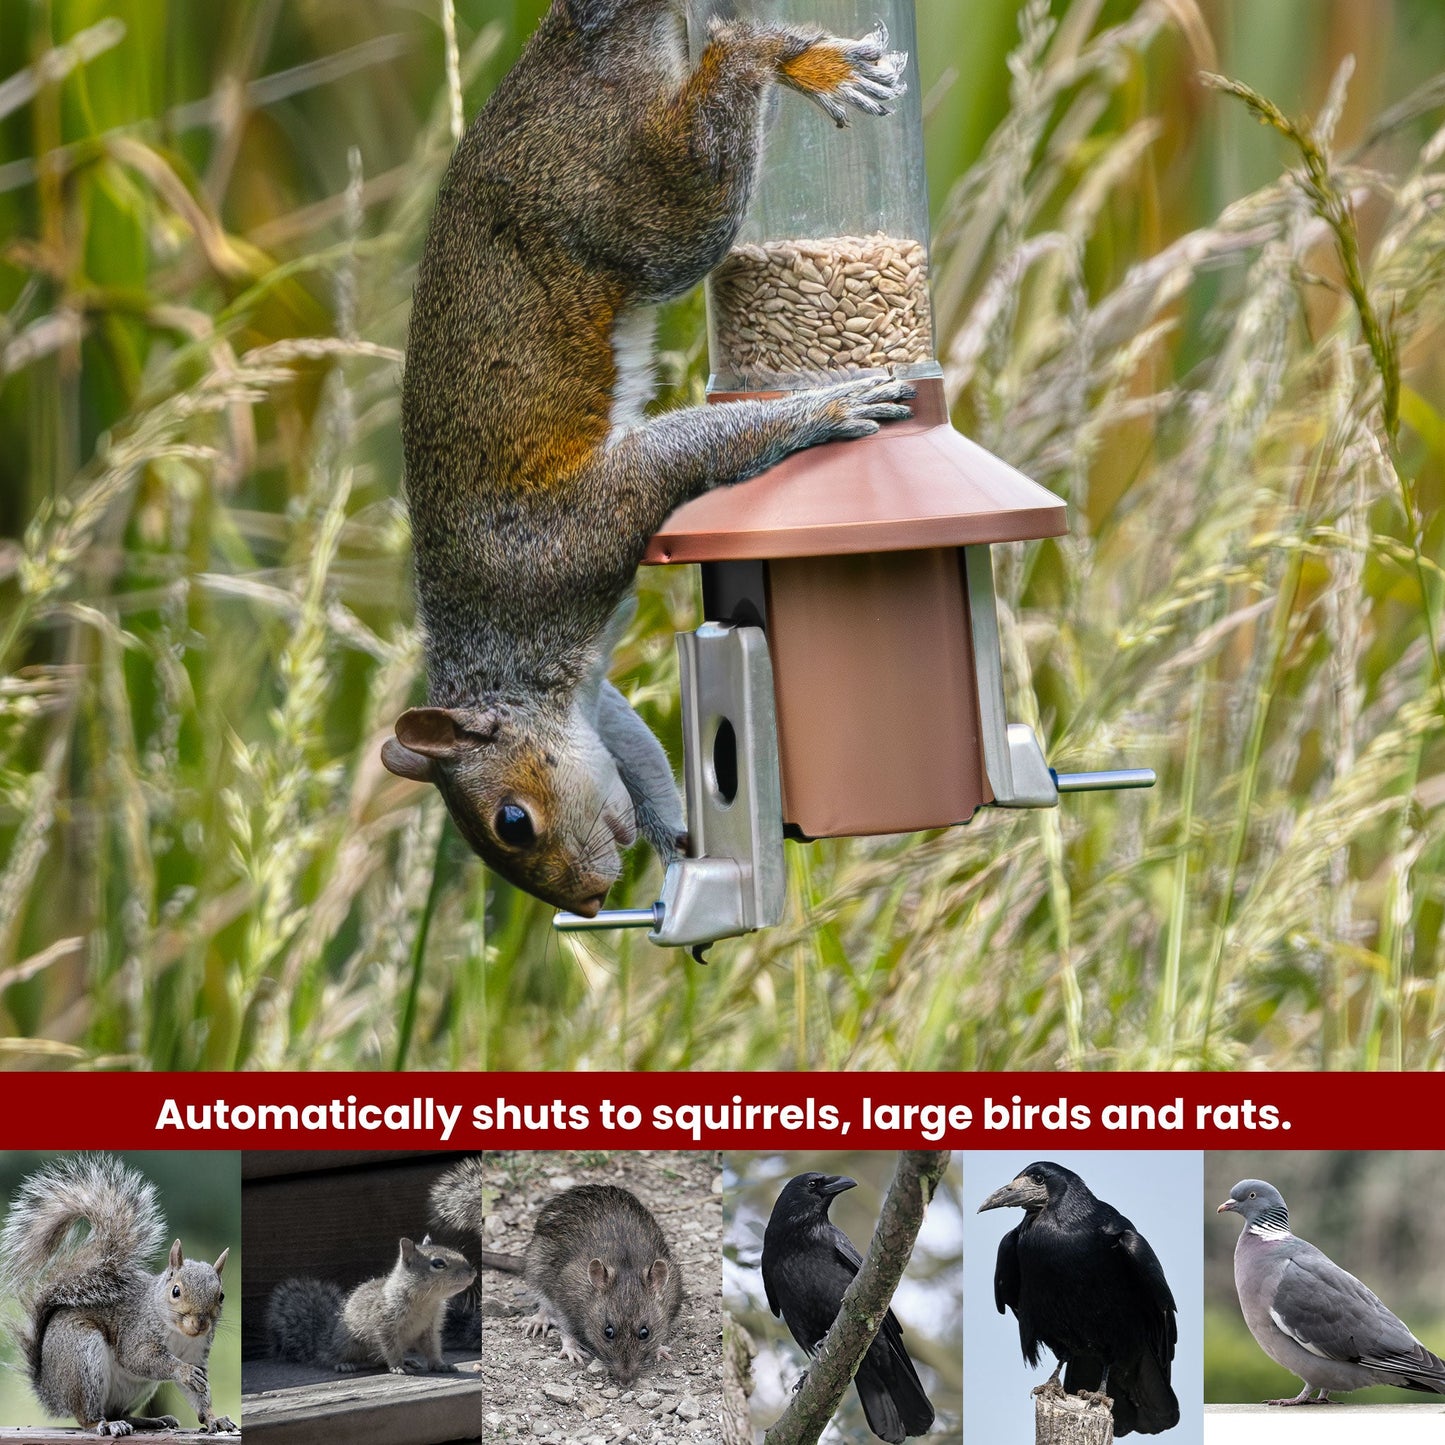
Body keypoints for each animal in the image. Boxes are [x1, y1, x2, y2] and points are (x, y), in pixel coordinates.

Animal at [0, 1153, 237, 1437]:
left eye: (221, 1296)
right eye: (176, 1291)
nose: (201, 1323)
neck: (178, 1332)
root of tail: (51, 1391)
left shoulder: (197, 1352)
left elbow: (199, 1395)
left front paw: (214, 1419)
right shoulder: (137, 1332)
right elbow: (140, 1358)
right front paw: (183, 1371)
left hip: (136, 1388)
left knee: (118, 1411)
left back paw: (148, 1421)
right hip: (82, 1358)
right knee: (87, 1415)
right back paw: (104, 1424)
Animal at [266, 1235, 476, 1375]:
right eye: (438, 1263)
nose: (472, 1272)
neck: (426, 1300)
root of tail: (325, 1341)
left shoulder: (430, 1329)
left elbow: (432, 1348)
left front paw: (440, 1364)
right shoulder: (385, 1324)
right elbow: (390, 1348)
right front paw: (398, 1366)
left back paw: (408, 1361)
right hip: (348, 1344)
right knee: (336, 1357)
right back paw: (346, 1364)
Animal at [384, 0, 915, 916]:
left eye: (511, 822)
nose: (589, 901)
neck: (502, 650)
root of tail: (566, 47)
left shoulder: (578, 533)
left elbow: (684, 453)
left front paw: (827, 408)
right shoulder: (596, 705)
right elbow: (635, 752)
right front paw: (679, 842)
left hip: (641, 202)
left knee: (724, 86)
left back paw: (793, 60)